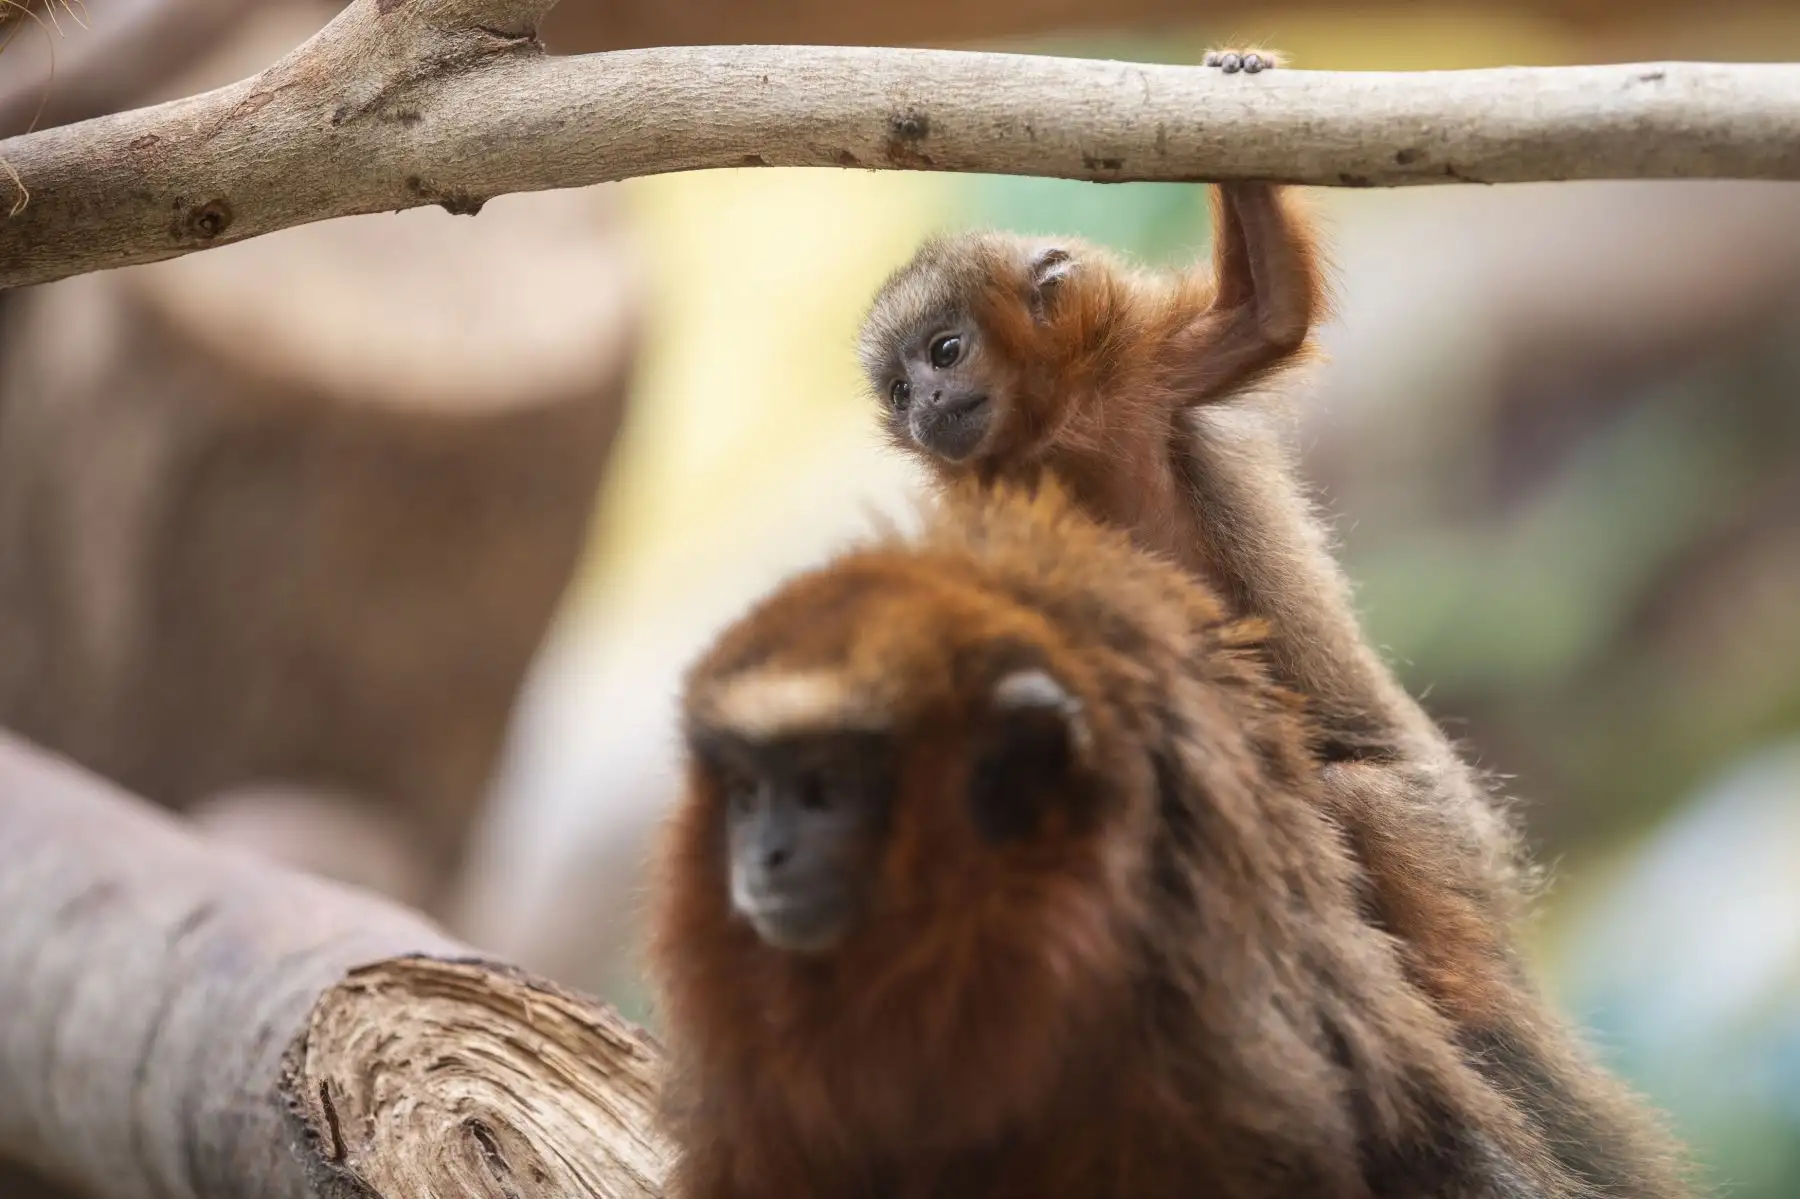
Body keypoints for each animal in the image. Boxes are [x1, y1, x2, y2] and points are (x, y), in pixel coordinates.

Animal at [854, 50, 1694, 1197]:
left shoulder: (1147, 372)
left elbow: (1269, 313)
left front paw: (1240, 89)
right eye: (899, 387)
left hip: (1451, 828)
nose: (927, 406)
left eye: (945, 350)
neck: (1051, 437)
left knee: (1365, 800)